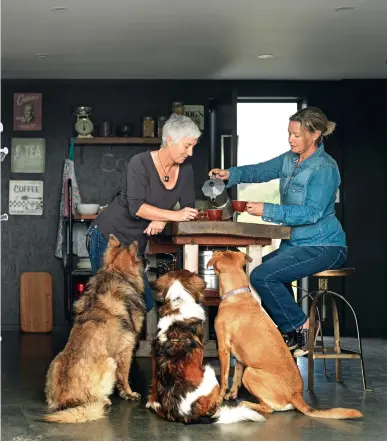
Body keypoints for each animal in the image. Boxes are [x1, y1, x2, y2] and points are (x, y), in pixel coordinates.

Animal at [44, 237, 146, 424]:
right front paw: (129, 393)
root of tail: (65, 399)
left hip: (55, 362)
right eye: (140, 257)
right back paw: (105, 400)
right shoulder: (125, 350)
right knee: (96, 398)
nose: (148, 261)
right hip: (110, 362)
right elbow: (124, 376)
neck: (115, 273)